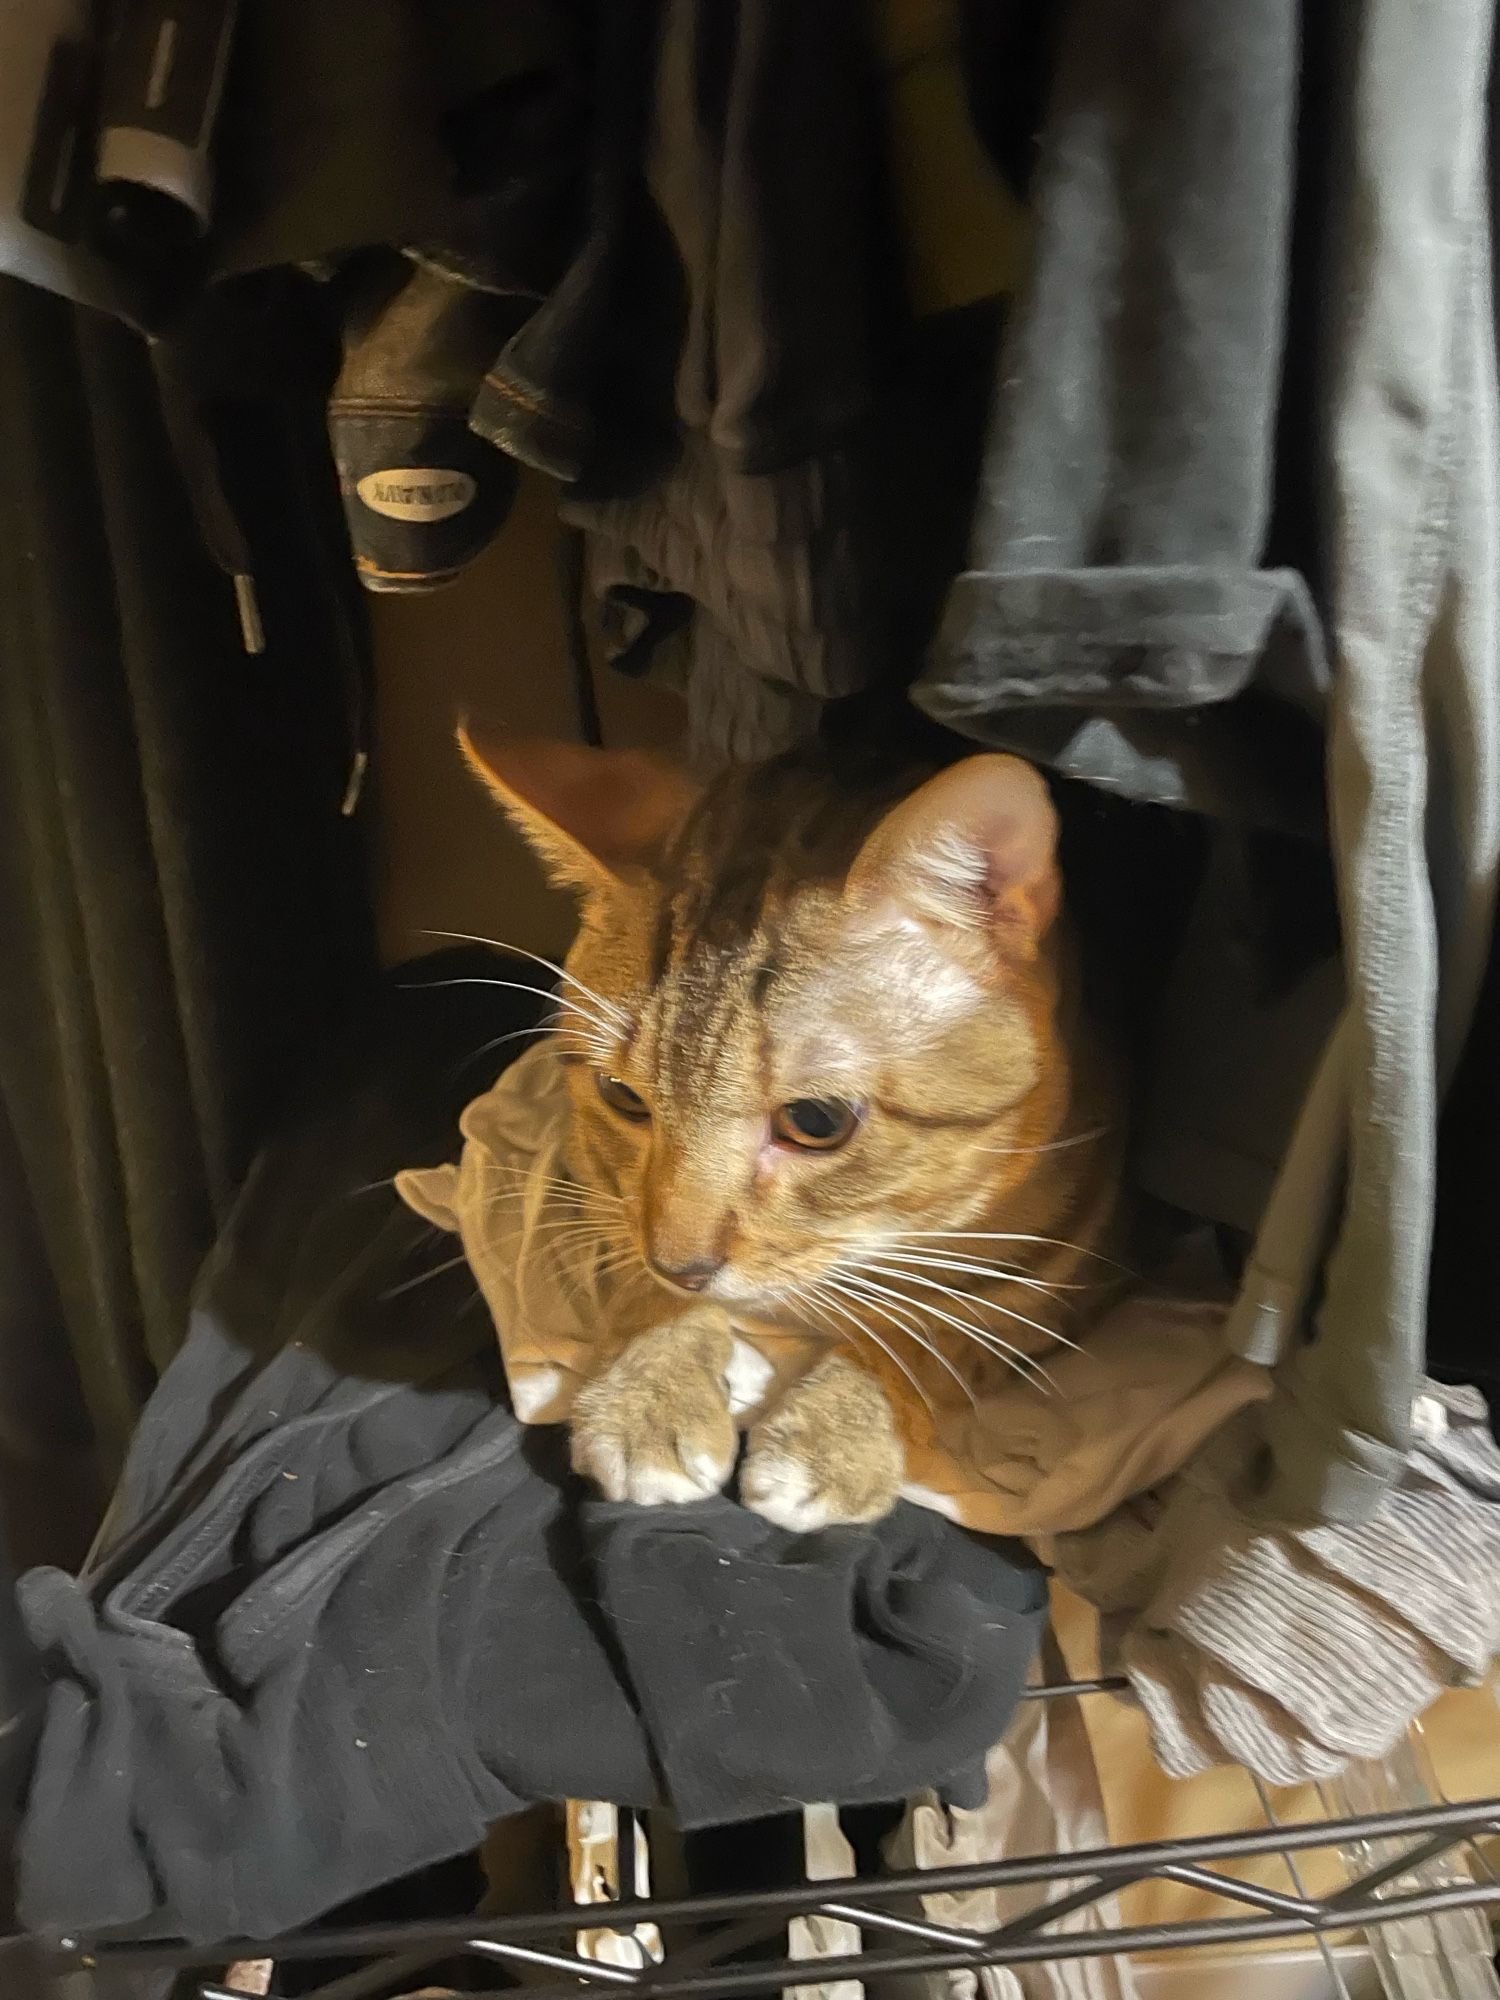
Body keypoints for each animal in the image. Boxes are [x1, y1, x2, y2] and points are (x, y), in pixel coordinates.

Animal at [464, 736, 1120, 1528]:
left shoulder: (1063, 1261)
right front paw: (647, 1388)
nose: (682, 1265)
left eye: (816, 1122)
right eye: (622, 1097)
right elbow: (635, 1260)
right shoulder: (608, 1191)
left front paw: (836, 1431)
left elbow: (928, 1332)